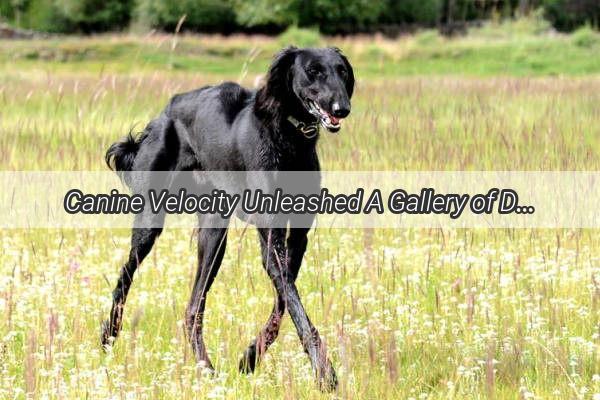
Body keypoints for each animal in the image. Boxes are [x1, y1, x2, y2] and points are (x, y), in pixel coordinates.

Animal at [102, 47, 354, 390]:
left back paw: (206, 370)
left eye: (342, 71)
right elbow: (295, 308)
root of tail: (164, 112)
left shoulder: (297, 238)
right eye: (313, 71)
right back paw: (109, 335)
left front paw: (250, 357)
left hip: (214, 235)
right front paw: (326, 374)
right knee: (125, 276)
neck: (289, 135)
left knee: (193, 309)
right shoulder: (272, 241)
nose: (342, 109)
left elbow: (284, 303)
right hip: (150, 221)